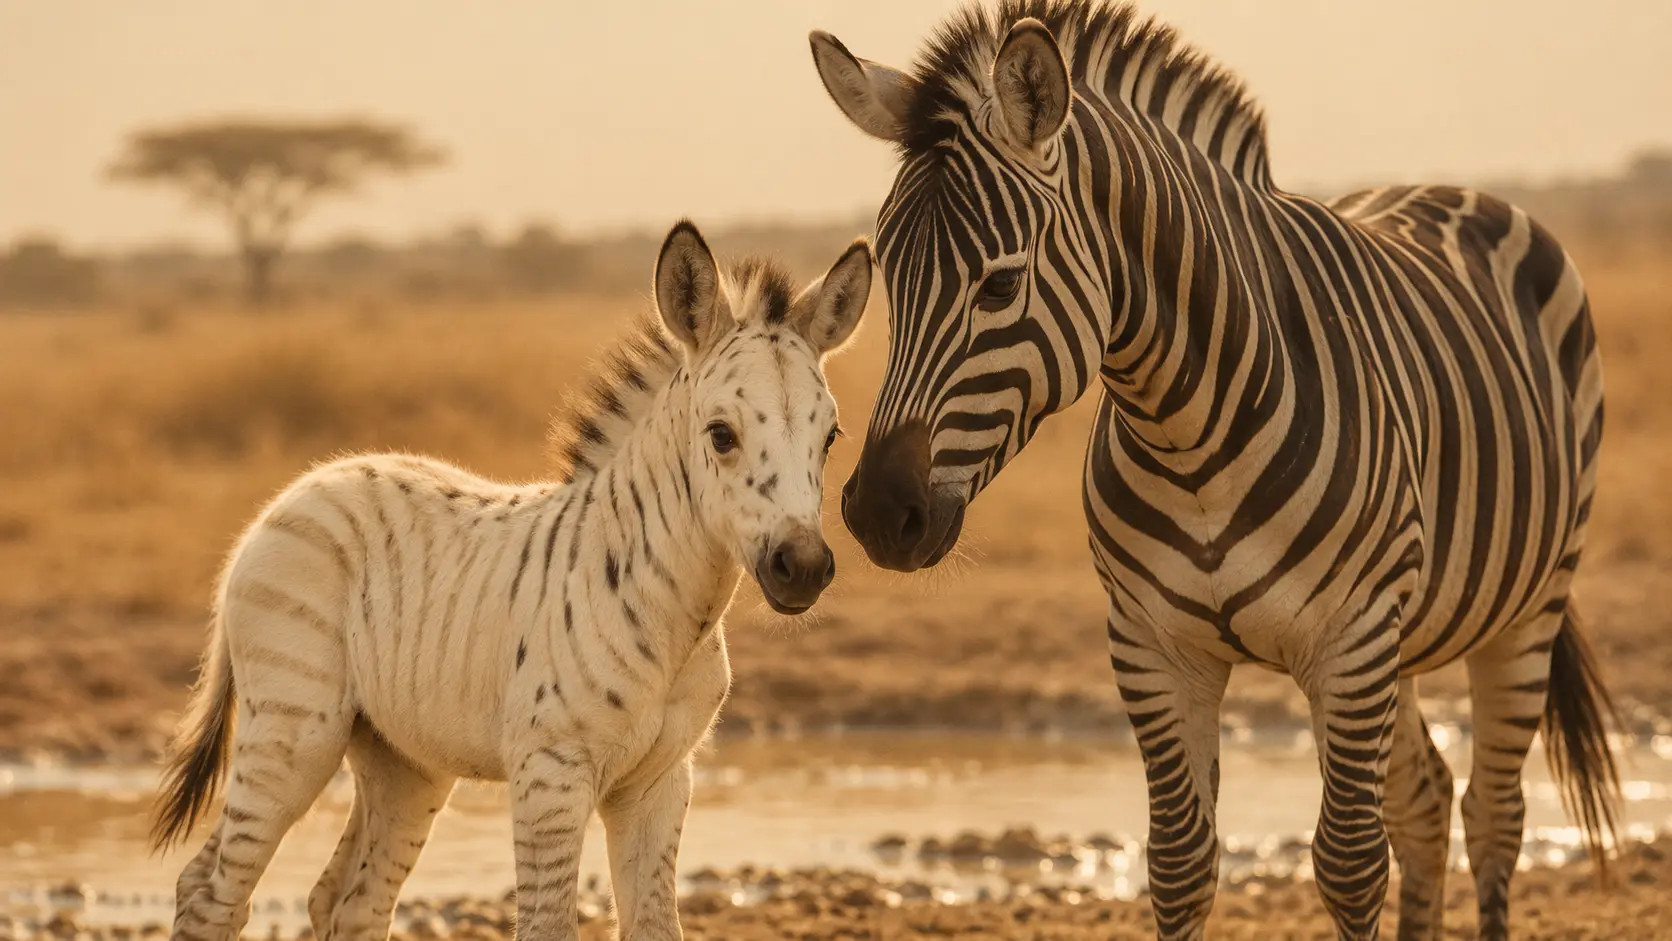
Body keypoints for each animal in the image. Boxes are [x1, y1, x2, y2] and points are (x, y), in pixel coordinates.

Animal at [150, 220, 872, 941]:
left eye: (831, 438)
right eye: (721, 435)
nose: (804, 567)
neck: (667, 613)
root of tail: (291, 496)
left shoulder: (660, 782)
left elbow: (655, 926)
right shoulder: (550, 774)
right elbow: (547, 926)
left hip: (401, 757)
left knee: (346, 900)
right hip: (294, 728)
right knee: (211, 892)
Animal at [809, 2, 1620, 938]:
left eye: (1000, 285)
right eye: (888, 283)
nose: (877, 512)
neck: (1190, 435)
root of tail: (1461, 190)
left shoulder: (1350, 640)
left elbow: (1349, 863)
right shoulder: (1152, 645)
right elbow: (1179, 863)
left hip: (1529, 605)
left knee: (1494, 815)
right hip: (1409, 633)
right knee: (1427, 798)